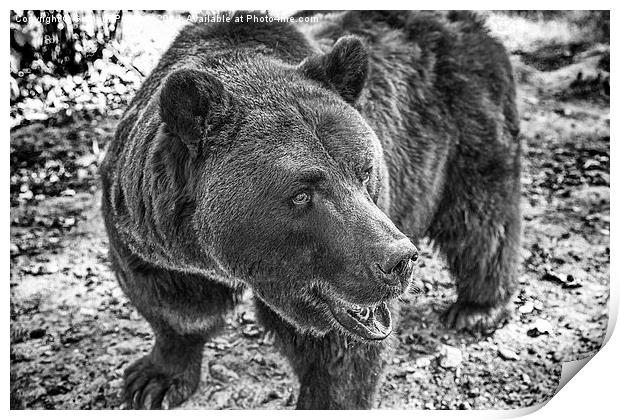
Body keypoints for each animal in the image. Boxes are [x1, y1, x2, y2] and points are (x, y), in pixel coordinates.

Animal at [99, 9, 520, 410]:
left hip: (470, 122)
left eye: (365, 170)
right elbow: (171, 304)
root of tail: (465, 21)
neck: (216, 258)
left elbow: (339, 354)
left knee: (481, 217)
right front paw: (153, 381)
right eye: (302, 194)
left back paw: (477, 309)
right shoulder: (151, 234)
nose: (398, 260)